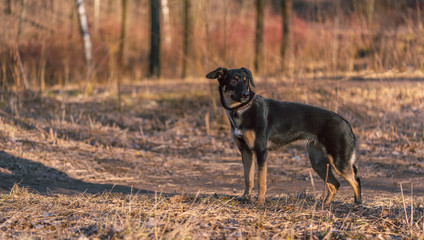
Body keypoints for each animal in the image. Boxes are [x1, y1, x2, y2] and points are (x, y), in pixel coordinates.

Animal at [205, 67, 362, 204]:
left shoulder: (261, 151)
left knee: (356, 180)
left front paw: (260, 202)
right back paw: (324, 204)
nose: (246, 95)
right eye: (233, 81)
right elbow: (247, 179)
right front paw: (245, 198)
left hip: (338, 161)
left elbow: (261, 180)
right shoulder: (245, 151)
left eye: (246, 81)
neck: (242, 109)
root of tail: (346, 122)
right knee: (335, 184)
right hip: (318, 162)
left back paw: (357, 204)